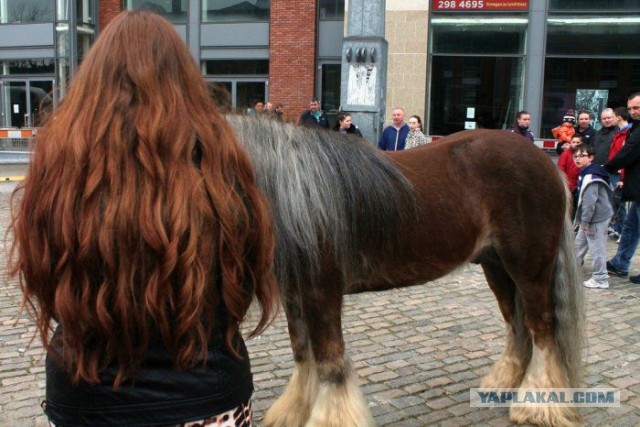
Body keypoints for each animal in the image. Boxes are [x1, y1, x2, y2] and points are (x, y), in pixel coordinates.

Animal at [230, 117, 584, 427]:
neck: (300, 192)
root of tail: (546, 163)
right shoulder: (296, 293)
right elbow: (303, 354)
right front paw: (294, 412)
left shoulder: (322, 292)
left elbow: (330, 362)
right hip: (497, 267)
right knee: (517, 325)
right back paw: (501, 386)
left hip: (529, 269)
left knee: (541, 328)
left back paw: (537, 408)